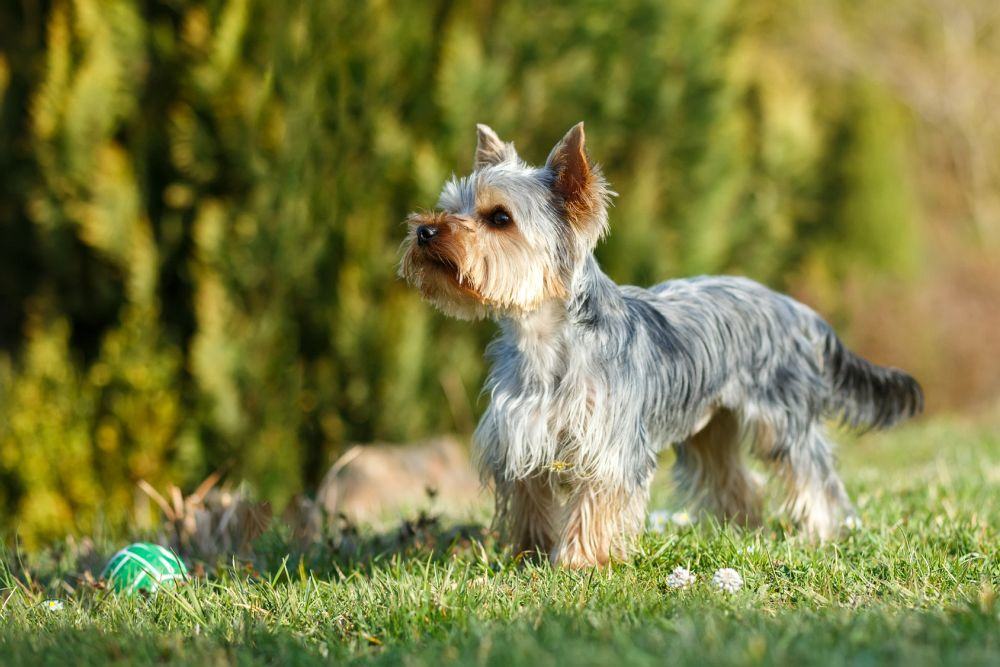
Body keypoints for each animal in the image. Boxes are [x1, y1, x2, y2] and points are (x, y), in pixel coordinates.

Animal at [398, 122, 920, 568]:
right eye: (450, 205)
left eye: (500, 217)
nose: (424, 230)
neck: (543, 339)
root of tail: (794, 308)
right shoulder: (520, 438)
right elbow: (530, 502)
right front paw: (530, 556)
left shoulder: (609, 443)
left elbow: (597, 503)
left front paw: (579, 564)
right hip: (712, 425)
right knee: (732, 477)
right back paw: (741, 530)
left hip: (783, 416)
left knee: (812, 472)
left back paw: (821, 534)